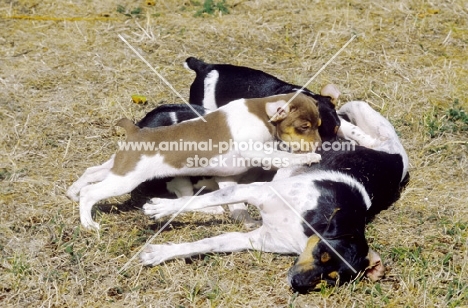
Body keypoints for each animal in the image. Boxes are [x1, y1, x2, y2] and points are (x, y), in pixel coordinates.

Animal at [68, 92, 322, 230]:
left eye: (319, 125)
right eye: (304, 127)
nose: (320, 145)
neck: (260, 112)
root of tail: (135, 130)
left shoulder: (228, 178)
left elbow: (238, 205)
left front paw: (247, 222)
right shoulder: (255, 151)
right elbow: (282, 156)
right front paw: (309, 157)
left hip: (119, 168)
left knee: (92, 172)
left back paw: (72, 192)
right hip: (126, 179)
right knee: (91, 193)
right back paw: (88, 223)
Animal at [141, 101, 408, 294]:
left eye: (331, 280)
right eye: (322, 252)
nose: (296, 284)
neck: (309, 225)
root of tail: (396, 158)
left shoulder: (255, 239)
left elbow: (207, 243)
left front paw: (160, 253)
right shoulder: (253, 191)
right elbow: (198, 202)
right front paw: (162, 209)